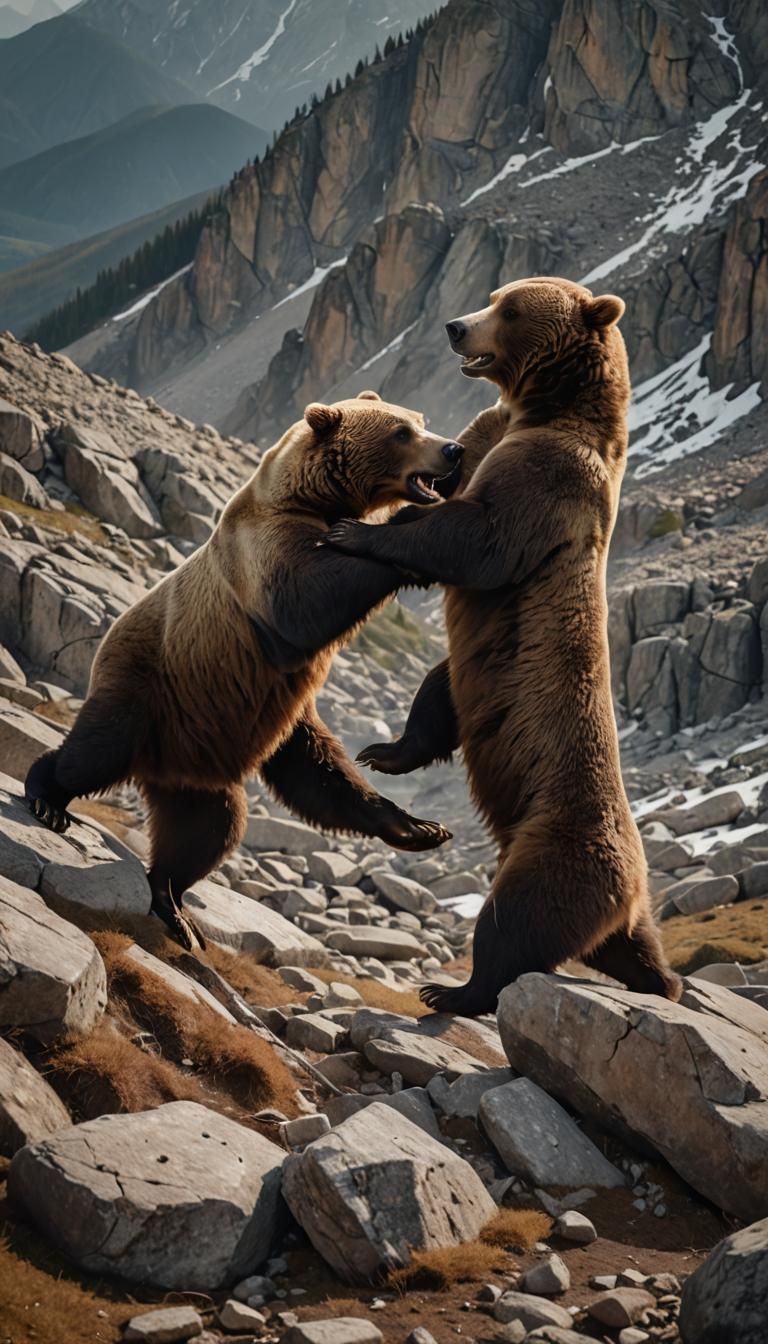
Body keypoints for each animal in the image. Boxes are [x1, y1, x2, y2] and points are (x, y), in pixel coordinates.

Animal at [25, 393, 464, 950]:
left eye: (420, 421)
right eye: (401, 432)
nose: (453, 450)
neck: (309, 497)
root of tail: (165, 764)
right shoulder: (266, 556)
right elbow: (310, 601)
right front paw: (396, 541)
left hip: (246, 731)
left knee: (233, 818)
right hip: (150, 684)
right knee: (98, 752)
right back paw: (46, 797)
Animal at [325, 277, 683, 1015]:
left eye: (511, 308)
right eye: (494, 294)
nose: (457, 326)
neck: (544, 408)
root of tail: (632, 882)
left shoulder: (549, 476)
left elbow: (476, 537)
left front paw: (356, 530)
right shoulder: (490, 435)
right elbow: (449, 484)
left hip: (555, 847)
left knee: (514, 922)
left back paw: (453, 989)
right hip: (483, 683)